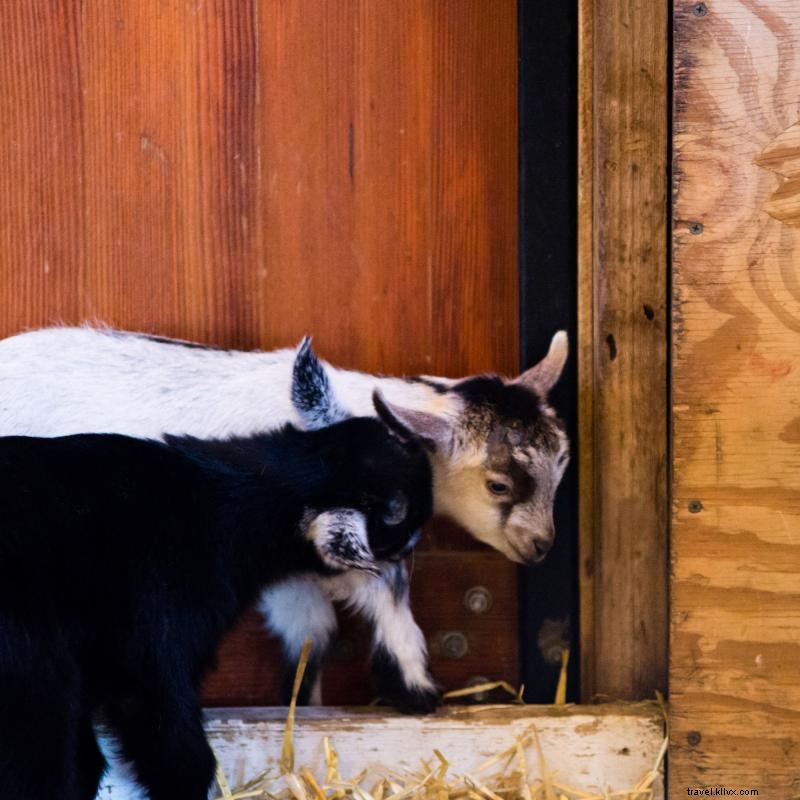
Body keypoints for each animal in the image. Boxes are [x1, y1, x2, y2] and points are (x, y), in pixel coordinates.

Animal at [0, 396, 432, 800]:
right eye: (396, 516)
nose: (425, 456)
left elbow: (88, 763)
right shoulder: (160, 645)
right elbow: (178, 748)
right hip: (33, 674)